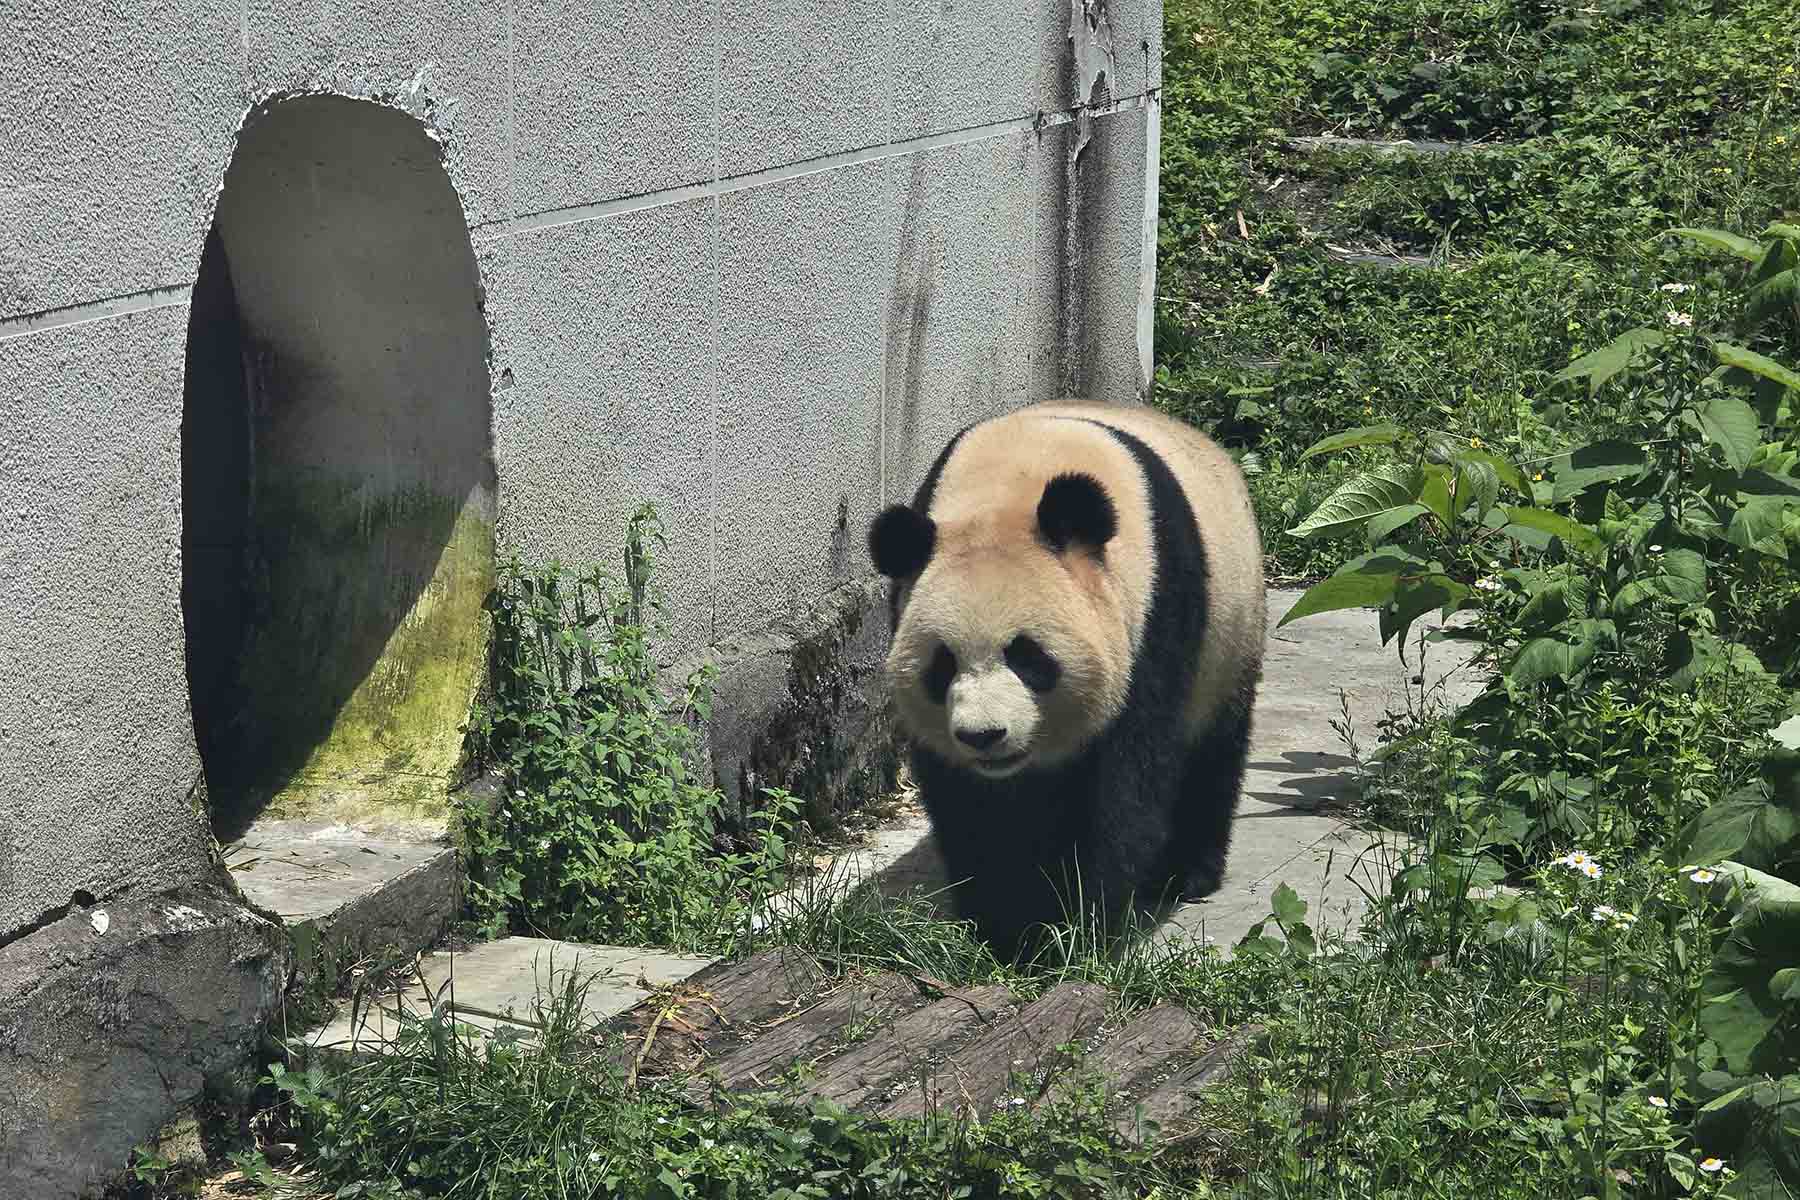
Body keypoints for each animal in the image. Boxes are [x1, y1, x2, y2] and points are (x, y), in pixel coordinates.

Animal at [867, 398, 1267, 958]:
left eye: (1029, 657)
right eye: (942, 665)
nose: (985, 736)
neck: (1011, 481)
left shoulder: (1154, 616)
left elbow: (1123, 786)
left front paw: (1077, 929)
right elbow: (973, 805)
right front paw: (1004, 928)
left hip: (1230, 634)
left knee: (1213, 749)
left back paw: (1188, 874)